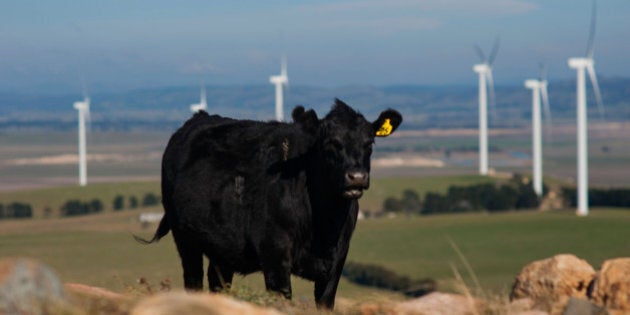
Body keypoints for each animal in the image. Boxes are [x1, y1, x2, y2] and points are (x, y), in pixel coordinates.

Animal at [138, 99, 404, 312]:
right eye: (330, 144)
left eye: (369, 144)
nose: (356, 177)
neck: (324, 225)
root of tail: (198, 118)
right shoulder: (275, 254)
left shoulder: (337, 260)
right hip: (185, 239)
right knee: (193, 280)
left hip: (221, 246)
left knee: (217, 281)